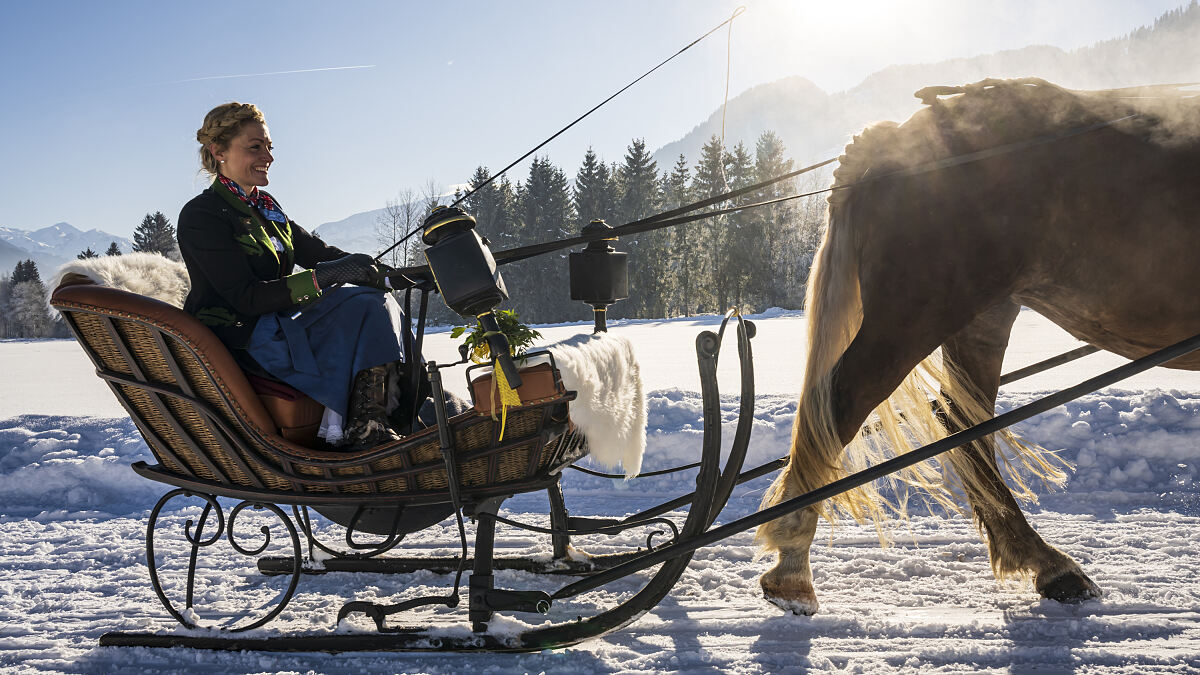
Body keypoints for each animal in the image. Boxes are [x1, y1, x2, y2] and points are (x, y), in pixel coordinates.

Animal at [758, 76, 1200, 612]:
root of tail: (896, 137)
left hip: (979, 317)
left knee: (962, 424)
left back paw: (1044, 562)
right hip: (918, 311)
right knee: (837, 409)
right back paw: (792, 565)